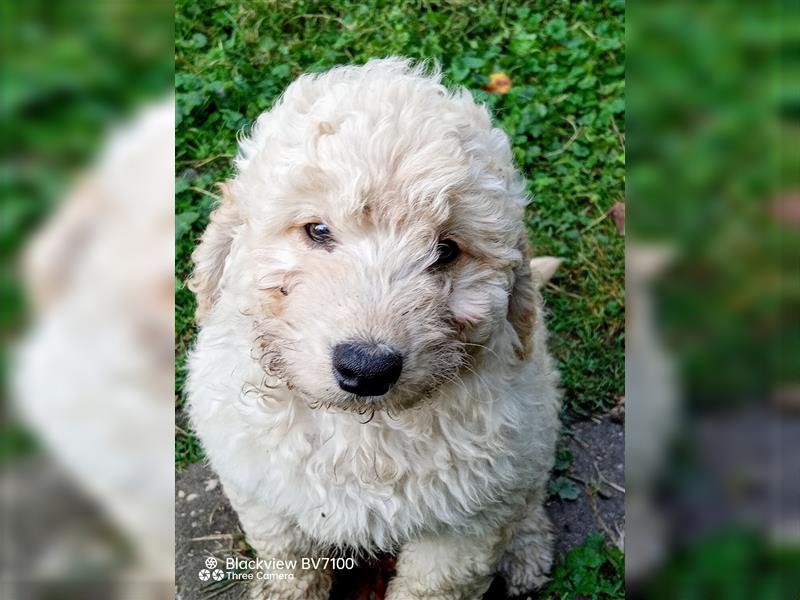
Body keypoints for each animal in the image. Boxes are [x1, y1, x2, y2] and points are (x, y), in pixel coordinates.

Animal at [188, 57, 564, 600]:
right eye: (317, 230)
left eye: (446, 249)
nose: (367, 369)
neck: (362, 432)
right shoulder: (259, 485)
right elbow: (288, 553)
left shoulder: (467, 525)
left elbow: (433, 586)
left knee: (529, 499)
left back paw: (527, 552)